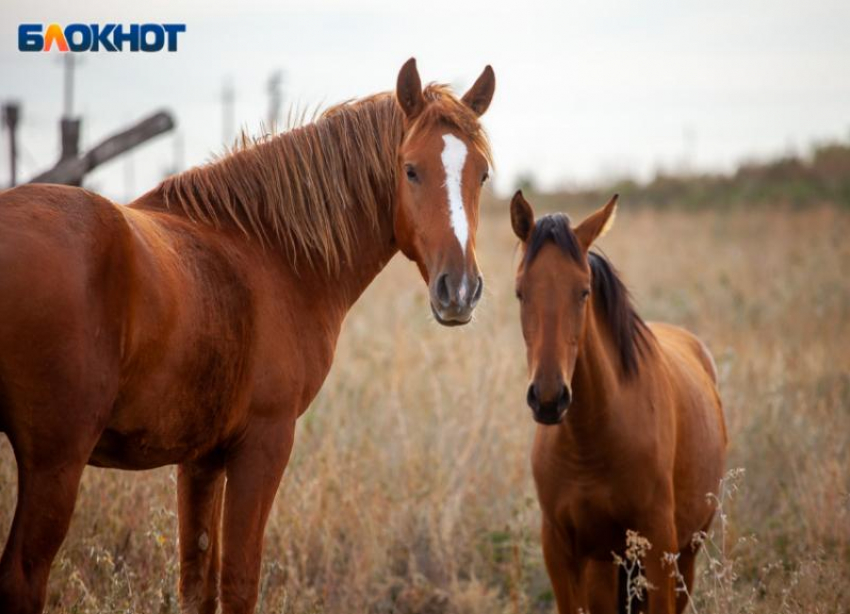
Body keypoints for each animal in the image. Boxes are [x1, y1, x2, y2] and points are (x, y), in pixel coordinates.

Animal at [0, 59, 494, 614]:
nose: (460, 291)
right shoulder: (264, 444)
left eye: (481, 174)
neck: (270, 248)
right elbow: (239, 583)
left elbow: (198, 586)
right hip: (55, 464)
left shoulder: (201, 459)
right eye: (410, 169)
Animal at [506, 194, 724, 614]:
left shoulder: (658, 549)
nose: (548, 398)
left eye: (583, 291)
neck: (591, 442)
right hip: (606, 567)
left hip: (683, 557)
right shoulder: (561, 552)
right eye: (520, 292)